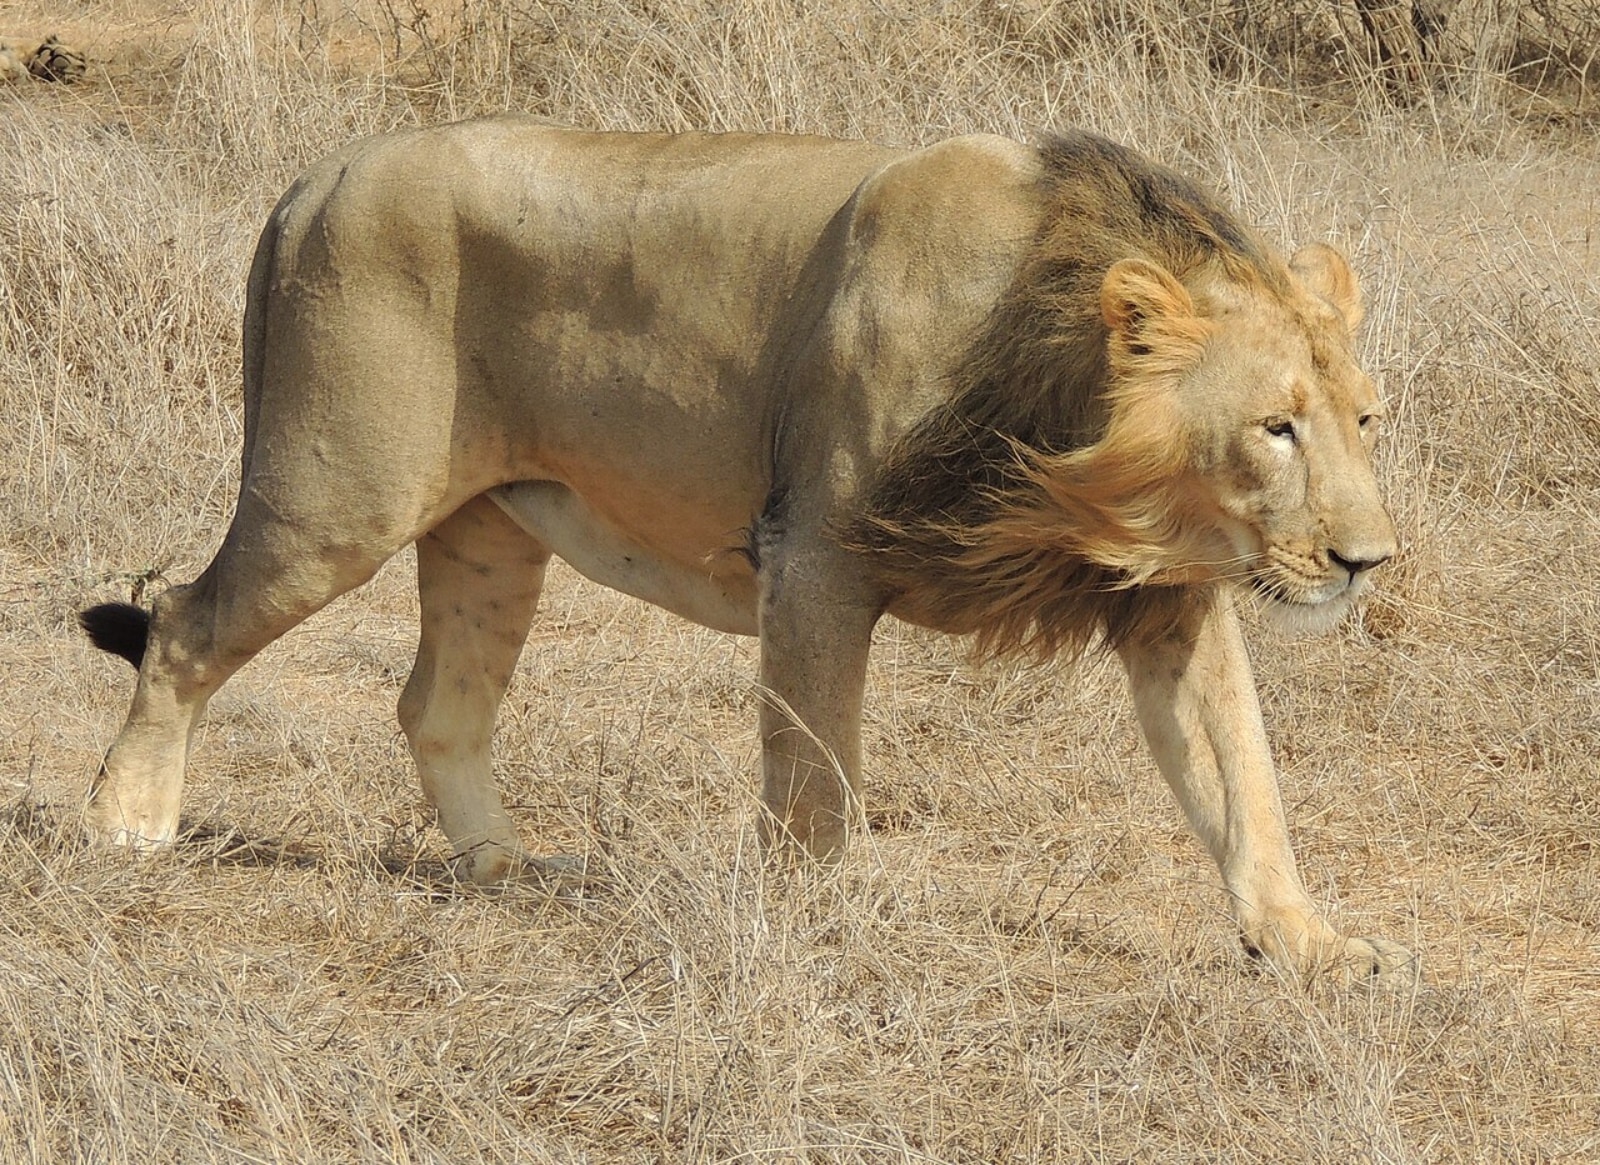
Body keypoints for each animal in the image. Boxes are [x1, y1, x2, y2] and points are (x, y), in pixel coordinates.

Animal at [79, 119, 1410, 979]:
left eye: (1362, 420)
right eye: (1274, 427)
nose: (1367, 561)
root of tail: (316, 175)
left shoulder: (1171, 602)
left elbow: (1245, 777)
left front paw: (1308, 945)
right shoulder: (814, 553)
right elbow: (814, 773)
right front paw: (813, 929)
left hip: (488, 531)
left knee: (435, 703)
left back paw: (505, 870)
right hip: (334, 494)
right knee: (184, 626)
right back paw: (126, 824)